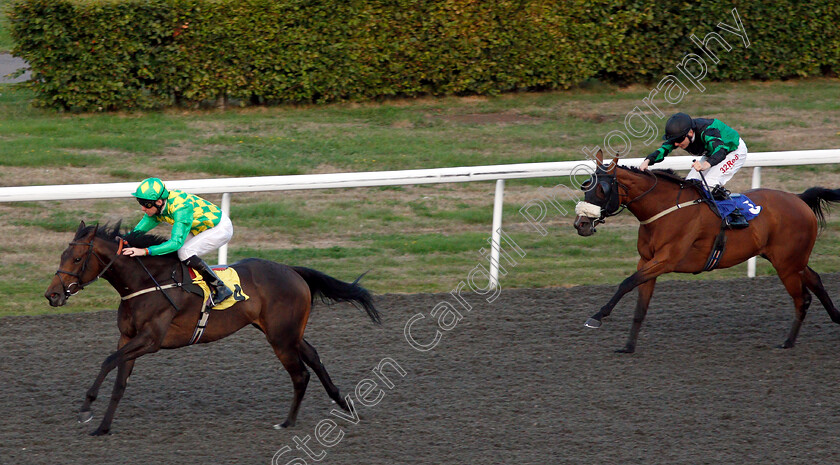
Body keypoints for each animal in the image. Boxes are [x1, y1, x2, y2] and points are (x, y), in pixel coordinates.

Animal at [42, 219, 378, 434]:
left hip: (281, 338)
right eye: (61, 255)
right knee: (315, 359)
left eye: (76, 258)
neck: (146, 283)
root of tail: (291, 270)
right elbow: (119, 380)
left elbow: (107, 361)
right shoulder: (128, 338)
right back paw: (344, 405)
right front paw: (103, 426)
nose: (52, 295)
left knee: (301, 374)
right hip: (285, 332)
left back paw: (288, 422)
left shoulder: (151, 339)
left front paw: (86, 408)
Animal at [576, 151, 840, 352]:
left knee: (802, 298)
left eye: (602, 189)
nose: (581, 224)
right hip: (790, 259)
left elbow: (626, 283)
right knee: (815, 280)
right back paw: (834, 318)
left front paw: (597, 317)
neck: (664, 209)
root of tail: (799, 199)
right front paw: (628, 346)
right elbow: (640, 305)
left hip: (786, 264)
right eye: (585, 185)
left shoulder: (665, 260)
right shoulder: (647, 261)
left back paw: (788, 341)